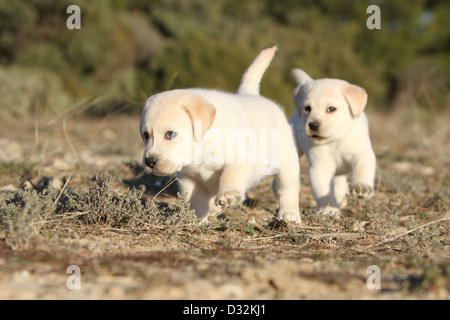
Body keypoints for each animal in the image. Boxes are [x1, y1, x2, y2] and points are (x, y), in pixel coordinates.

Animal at [140, 47, 302, 222]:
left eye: (170, 134)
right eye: (145, 135)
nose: (149, 162)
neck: (202, 149)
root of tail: (253, 95)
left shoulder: (240, 158)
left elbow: (230, 175)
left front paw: (228, 194)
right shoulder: (188, 177)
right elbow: (196, 199)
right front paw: (199, 220)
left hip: (287, 162)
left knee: (287, 189)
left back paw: (289, 214)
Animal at [288, 67, 376, 218]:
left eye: (331, 109)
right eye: (307, 108)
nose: (313, 125)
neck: (336, 141)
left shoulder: (362, 153)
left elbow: (362, 170)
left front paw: (362, 188)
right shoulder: (320, 167)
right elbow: (324, 190)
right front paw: (329, 209)